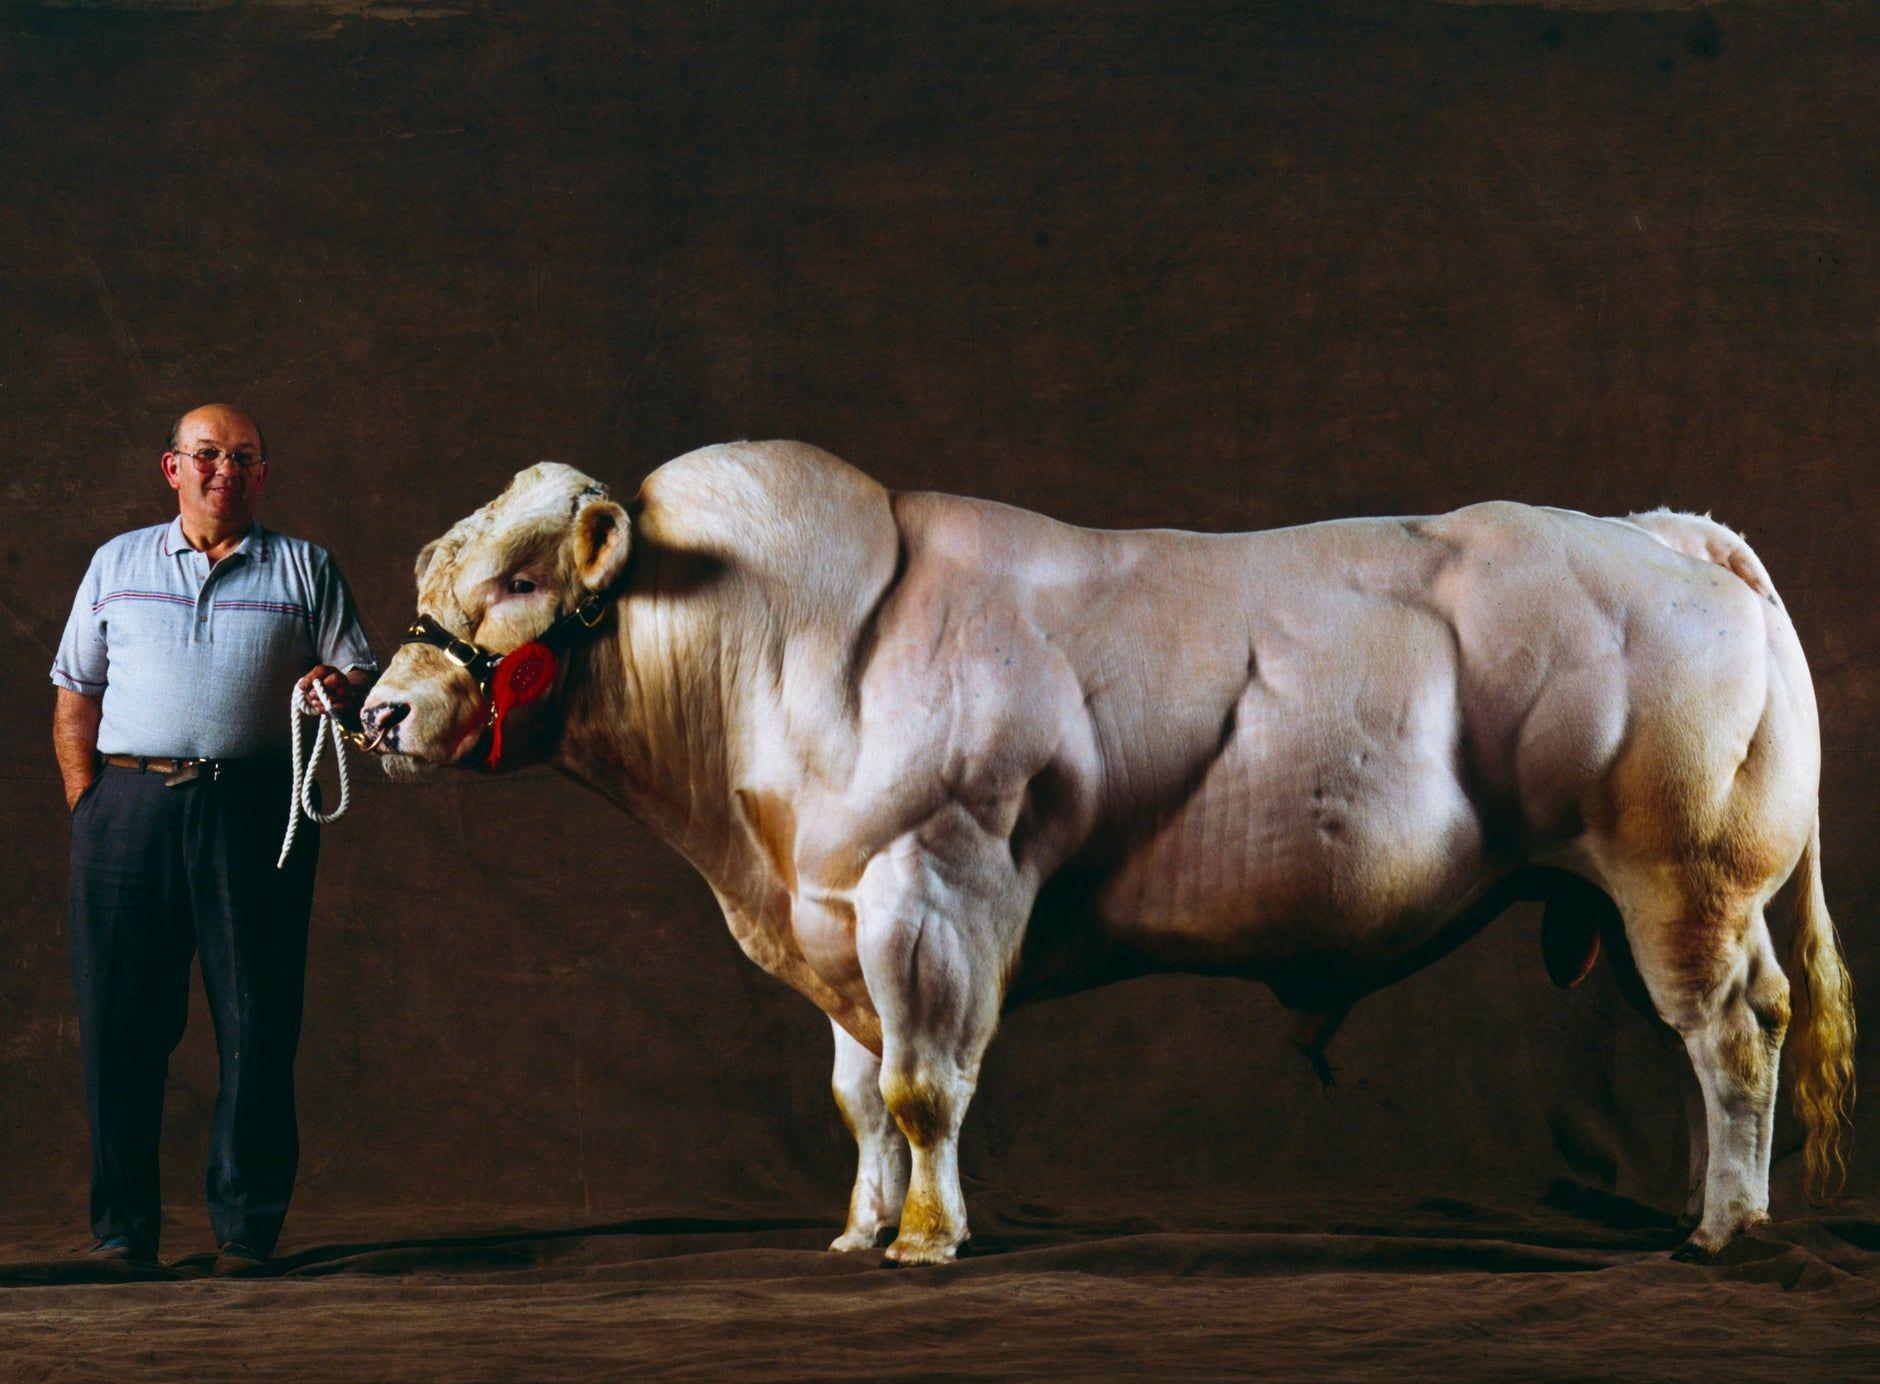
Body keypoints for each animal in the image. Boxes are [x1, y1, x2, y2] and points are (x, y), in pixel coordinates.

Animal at [355, 443, 1849, 1263]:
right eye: (434, 572)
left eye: (516, 581)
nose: (375, 712)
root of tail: (1659, 530)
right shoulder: (838, 916)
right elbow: (855, 1098)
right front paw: (857, 1226)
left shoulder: (933, 888)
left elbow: (921, 1089)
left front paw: (924, 1239)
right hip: (1700, 893)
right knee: (1745, 1024)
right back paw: (1727, 1209)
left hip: (1682, 878)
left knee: (1729, 1040)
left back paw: (1722, 1226)